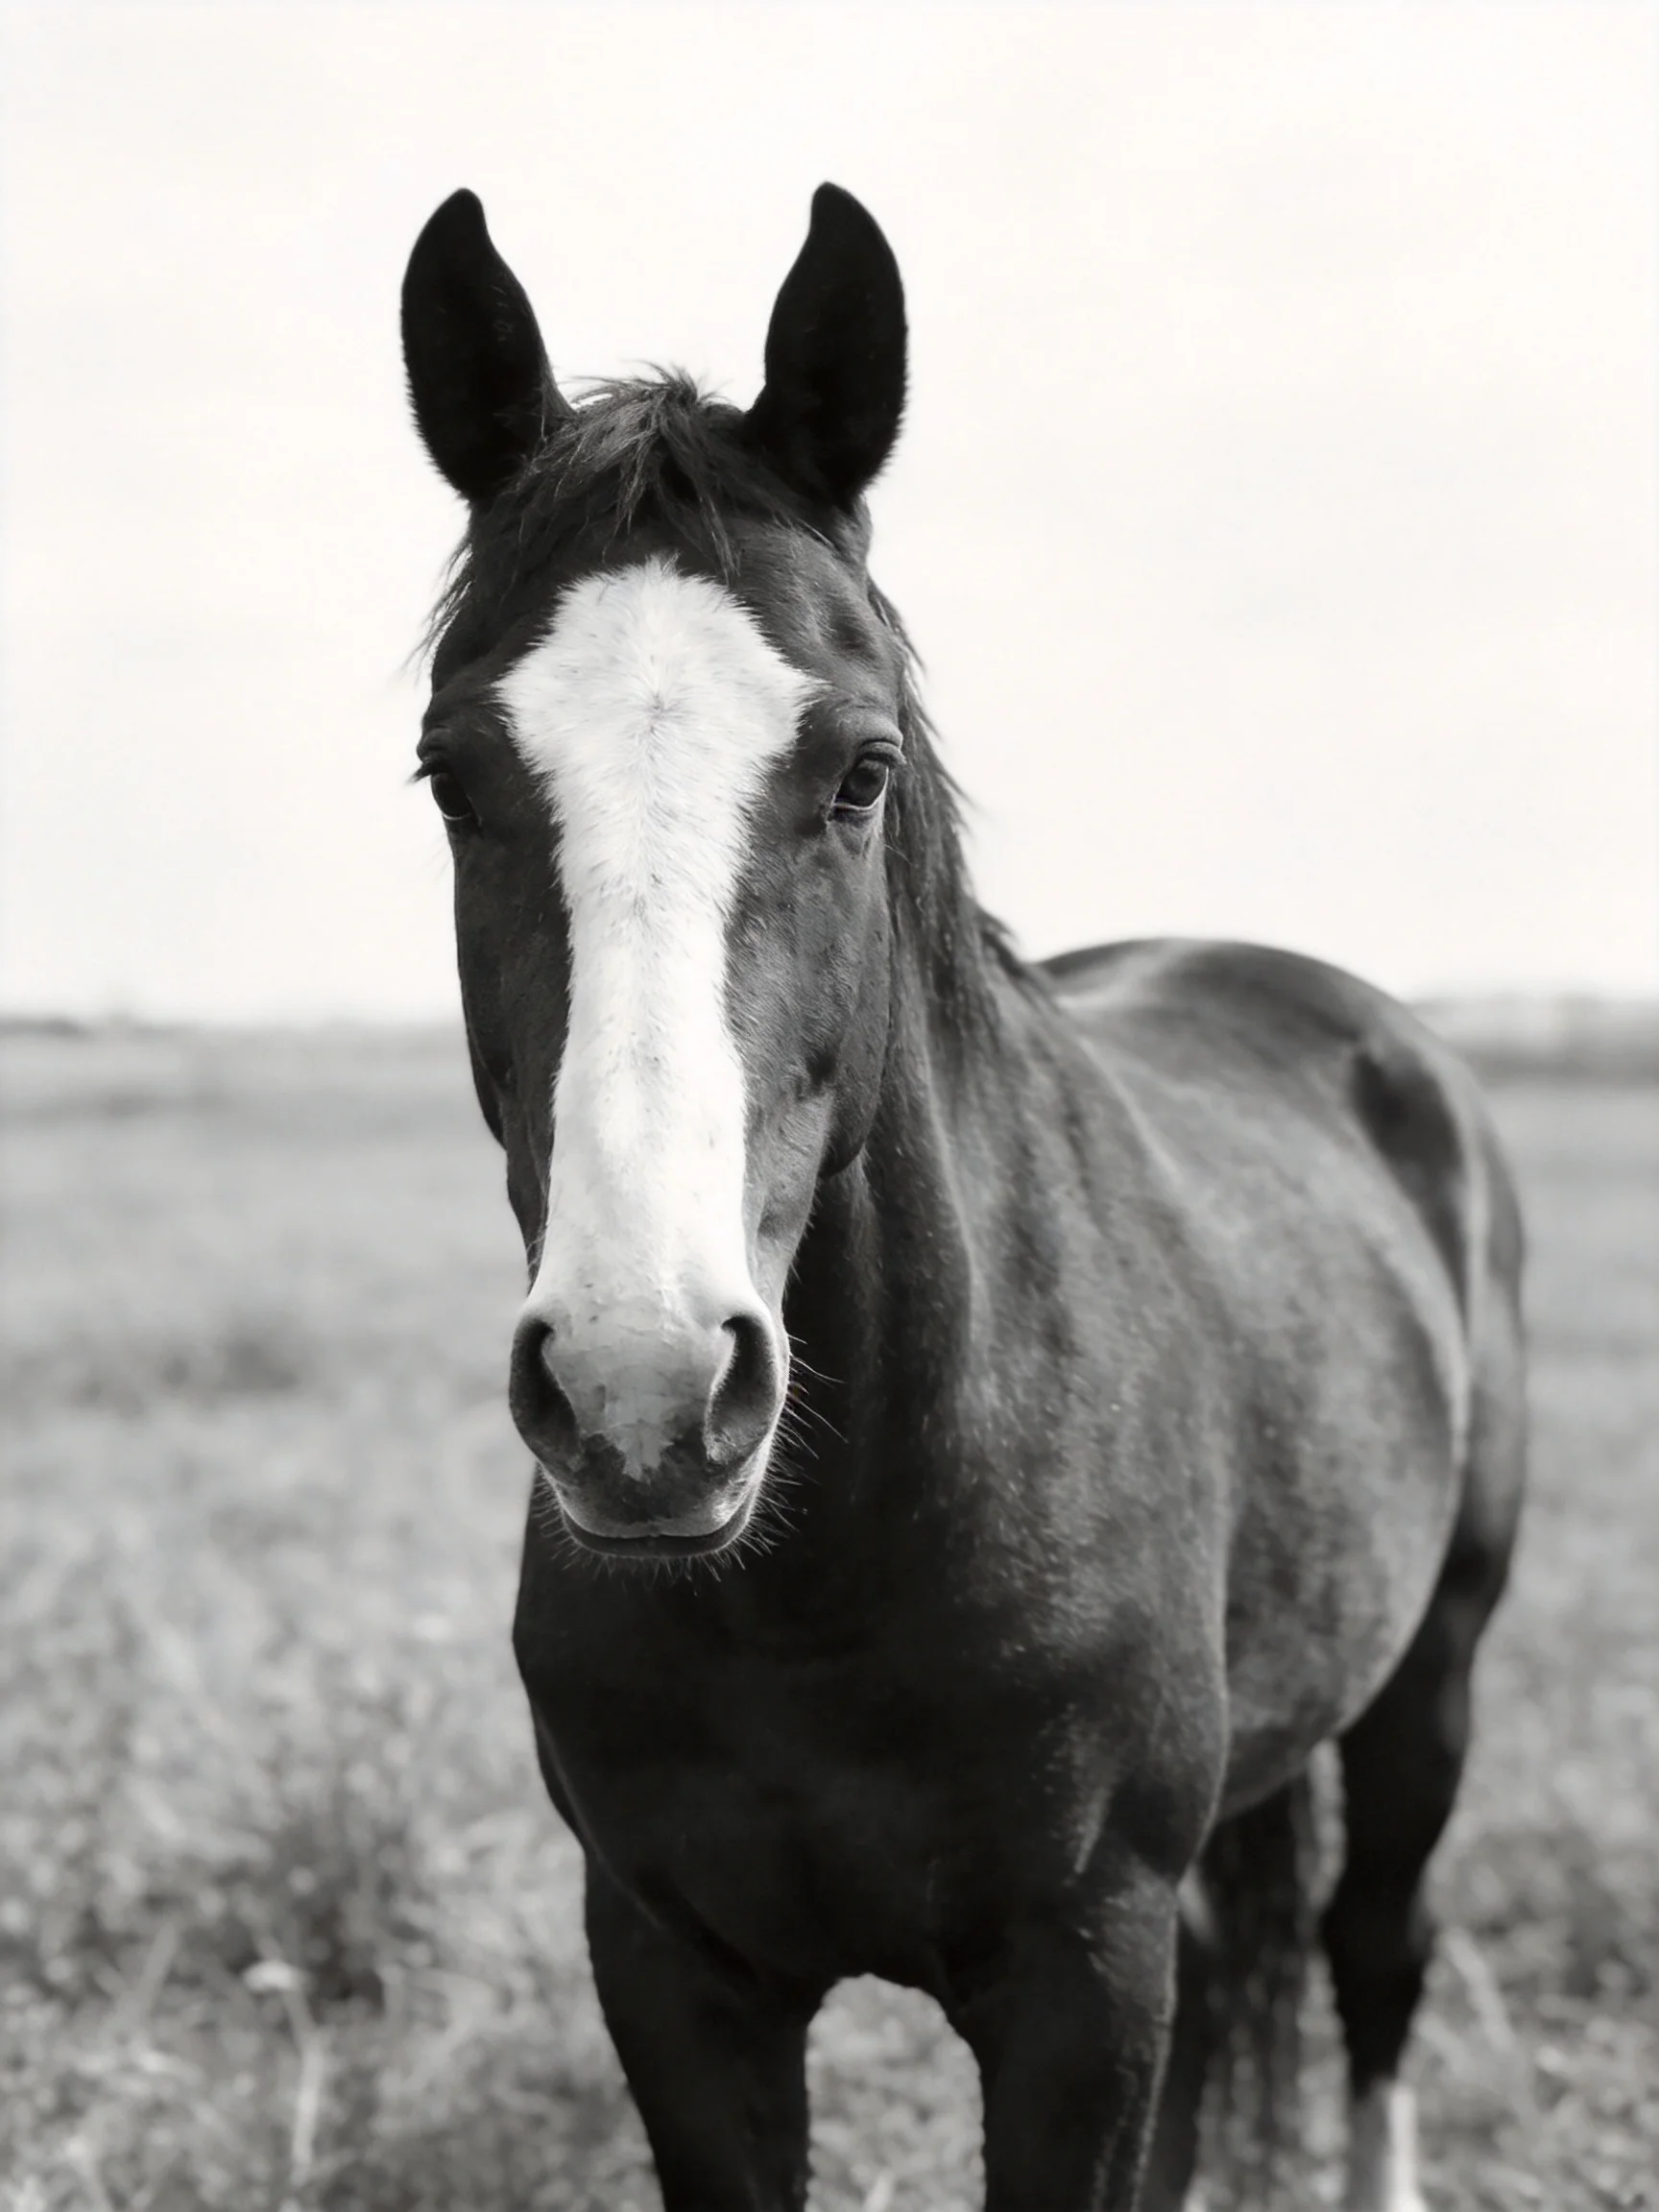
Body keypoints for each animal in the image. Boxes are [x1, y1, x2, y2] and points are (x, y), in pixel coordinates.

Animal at [398, 182, 1526, 2211]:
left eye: (861, 770)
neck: (827, 1571)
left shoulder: (1075, 1972)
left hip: (1431, 1674)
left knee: (1371, 1956)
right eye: (452, 776)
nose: (639, 1389)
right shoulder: (673, 1970)